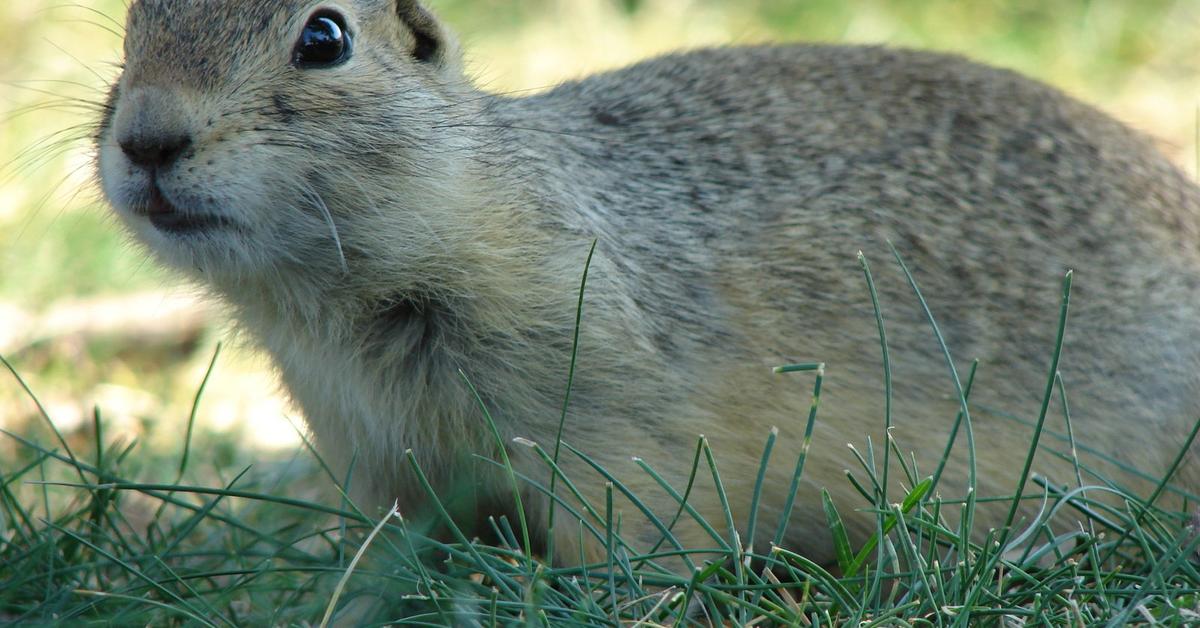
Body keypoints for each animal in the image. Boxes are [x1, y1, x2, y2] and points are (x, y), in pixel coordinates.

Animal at [96, 1, 1200, 569]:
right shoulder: (382, 462)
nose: (146, 137)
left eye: (323, 36)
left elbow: (632, 544)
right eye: (134, 23)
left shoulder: (616, 438)